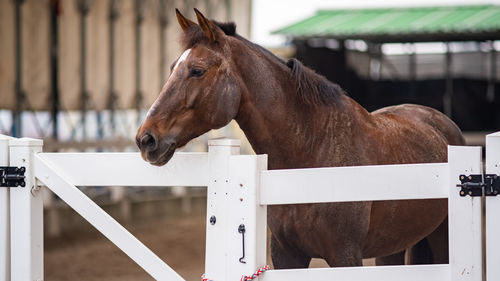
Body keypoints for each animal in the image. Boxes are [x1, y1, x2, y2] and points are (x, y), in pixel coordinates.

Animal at [136, 8, 464, 266]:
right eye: (172, 68)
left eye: (197, 70)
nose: (146, 139)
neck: (312, 152)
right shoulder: (287, 256)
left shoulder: (345, 256)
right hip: (391, 249)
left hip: (443, 240)